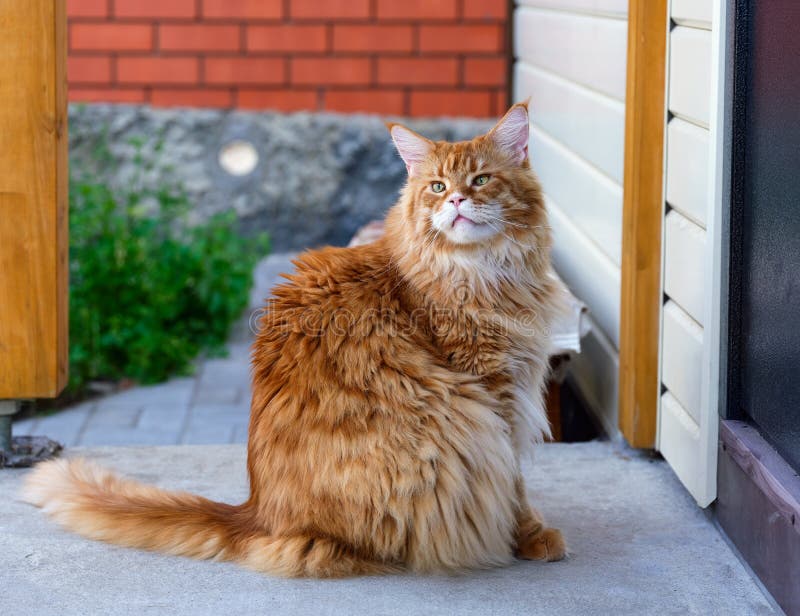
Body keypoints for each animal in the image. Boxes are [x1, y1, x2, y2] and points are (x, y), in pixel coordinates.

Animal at [21, 102, 564, 576]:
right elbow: (514, 481)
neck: (484, 272)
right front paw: (530, 536)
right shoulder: (491, 393)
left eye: (481, 180)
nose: (456, 200)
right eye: (436, 186)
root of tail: (257, 511)